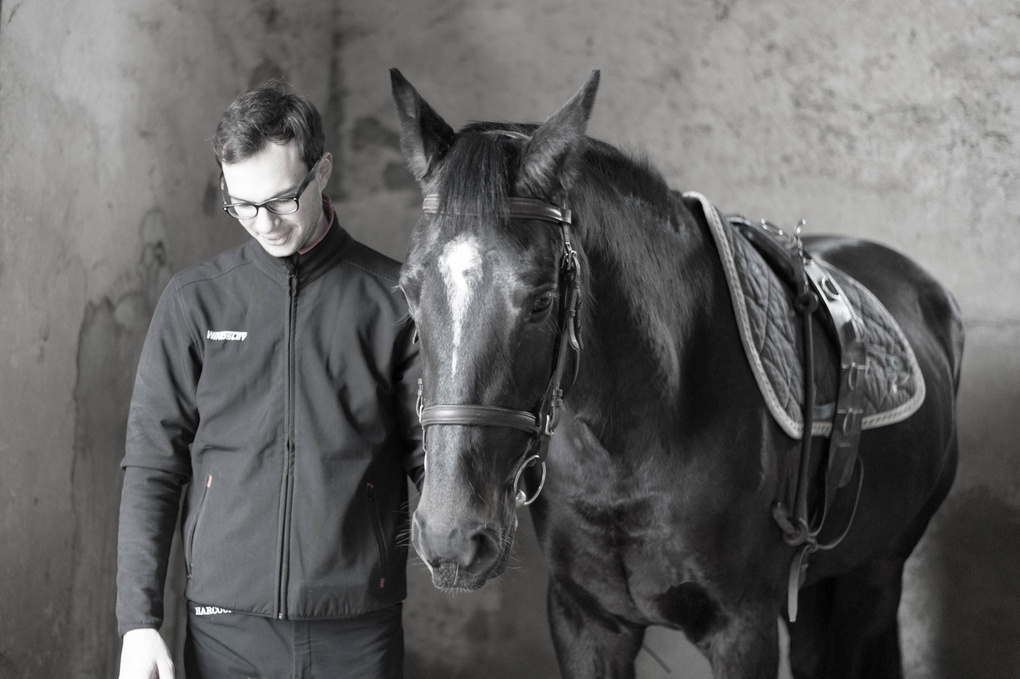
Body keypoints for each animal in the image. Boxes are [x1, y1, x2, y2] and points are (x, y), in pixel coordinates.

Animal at [389, 68, 963, 679]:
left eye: (542, 301)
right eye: (408, 292)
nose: (451, 534)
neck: (630, 443)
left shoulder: (742, 628)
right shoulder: (584, 622)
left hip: (874, 575)